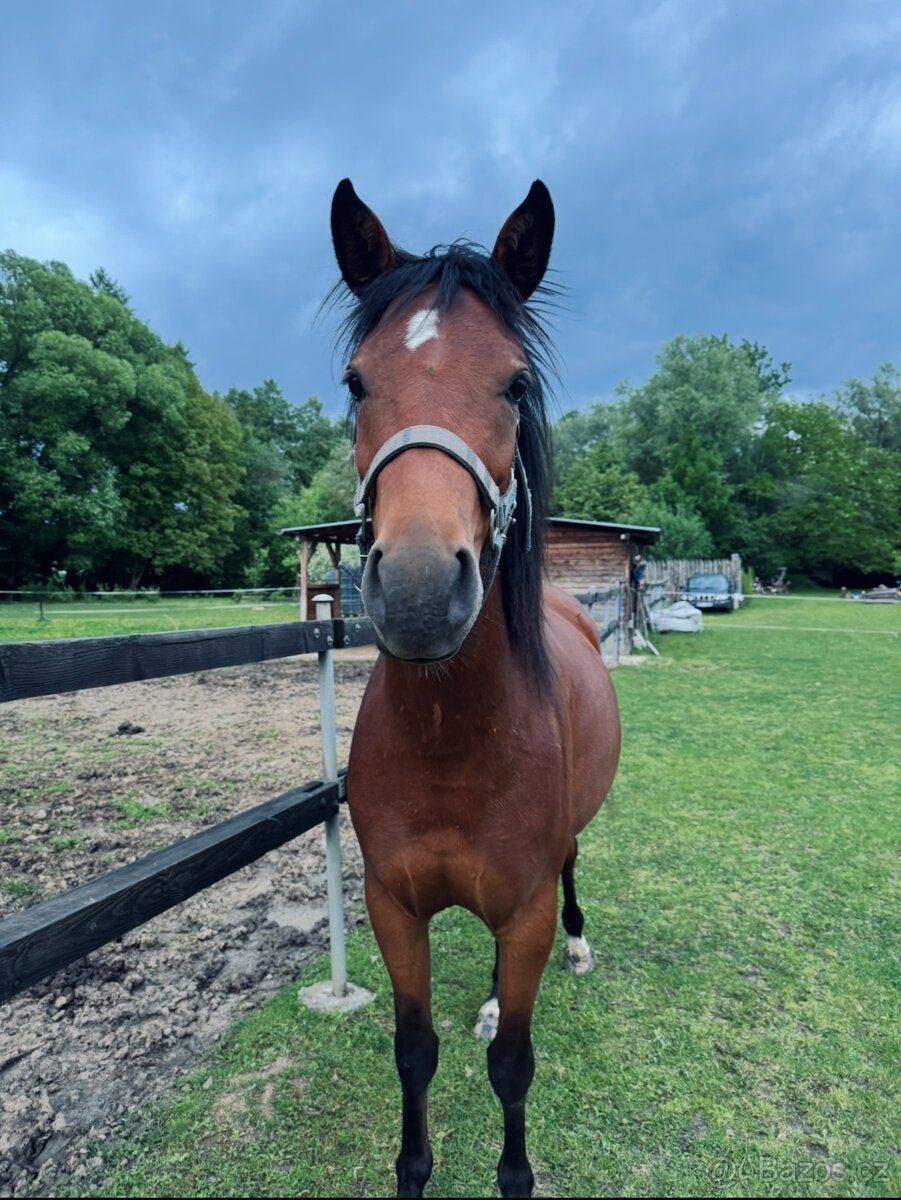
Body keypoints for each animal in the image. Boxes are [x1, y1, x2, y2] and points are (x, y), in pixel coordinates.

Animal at [333, 178, 621, 1198]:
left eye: (516, 383)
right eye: (356, 382)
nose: (420, 592)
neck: (451, 735)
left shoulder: (523, 906)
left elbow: (513, 1069)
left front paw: (514, 1176)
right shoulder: (392, 908)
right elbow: (412, 1052)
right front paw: (413, 1171)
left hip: (559, 861)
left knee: (570, 872)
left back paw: (576, 947)